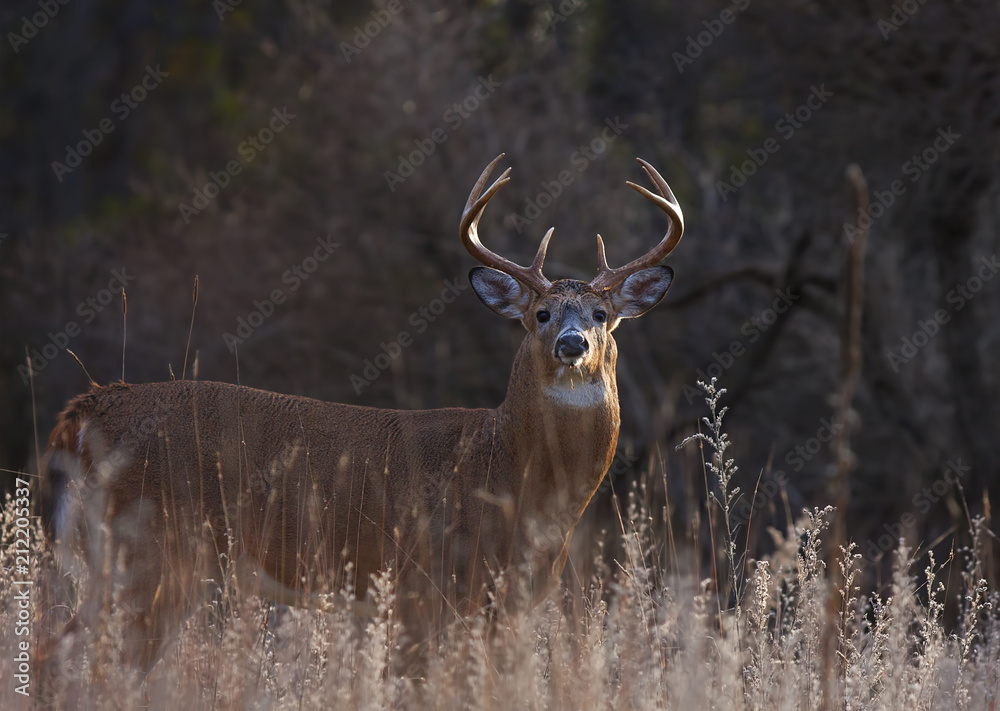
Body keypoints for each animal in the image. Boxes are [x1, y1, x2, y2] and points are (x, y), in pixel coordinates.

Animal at [37, 154, 683, 682]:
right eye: (542, 314)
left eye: (601, 314)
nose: (573, 344)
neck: (515, 472)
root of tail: (86, 411)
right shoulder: (424, 585)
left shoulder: (505, 603)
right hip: (148, 552)